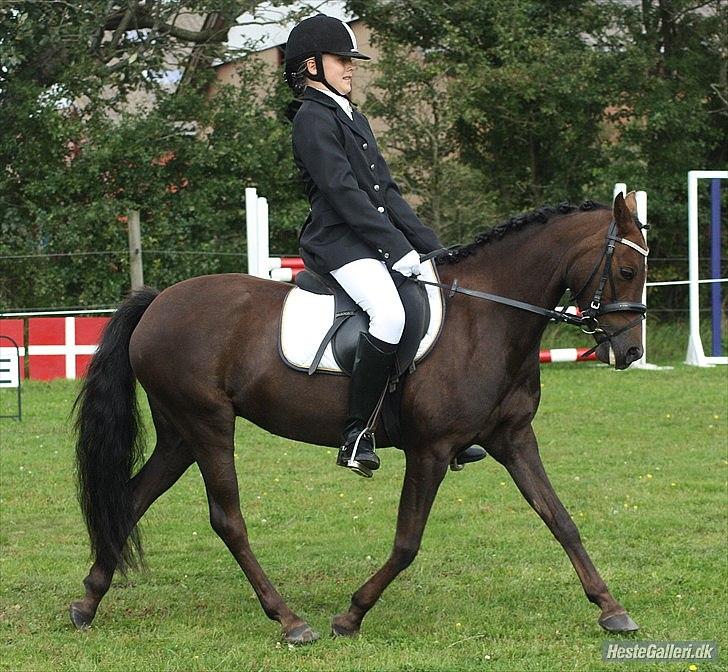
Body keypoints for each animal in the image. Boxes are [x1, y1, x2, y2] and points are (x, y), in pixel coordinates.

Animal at [69, 192, 648, 644]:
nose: (631, 352)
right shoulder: (431, 450)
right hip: (208, 425)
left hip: (179, 434)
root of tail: (157, 301)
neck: (486, 318)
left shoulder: (514, 439)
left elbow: (561, 520)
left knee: (131, 499)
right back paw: (290, 621)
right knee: (226, 519)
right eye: (626, 271)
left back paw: (88, 602)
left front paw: (611, 609)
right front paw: (350, 616)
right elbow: (407, 542)